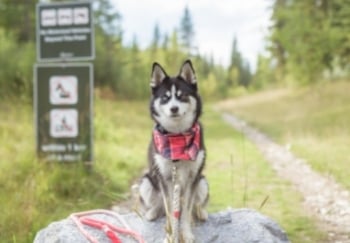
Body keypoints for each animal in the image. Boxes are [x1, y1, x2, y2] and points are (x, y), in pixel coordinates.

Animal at [137, 59, 208, 242]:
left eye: (182, 95)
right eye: (165, 97)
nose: (174, 109)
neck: (177, 137)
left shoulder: (192, 178)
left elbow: (186, 212)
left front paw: (186, 233)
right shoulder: (165, 179)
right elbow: (170, 212)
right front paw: (171, 235)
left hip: (203, 181)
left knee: (196, 205)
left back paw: (201, 212)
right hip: (146, 181)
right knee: (160, 206)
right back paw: (152, 212)